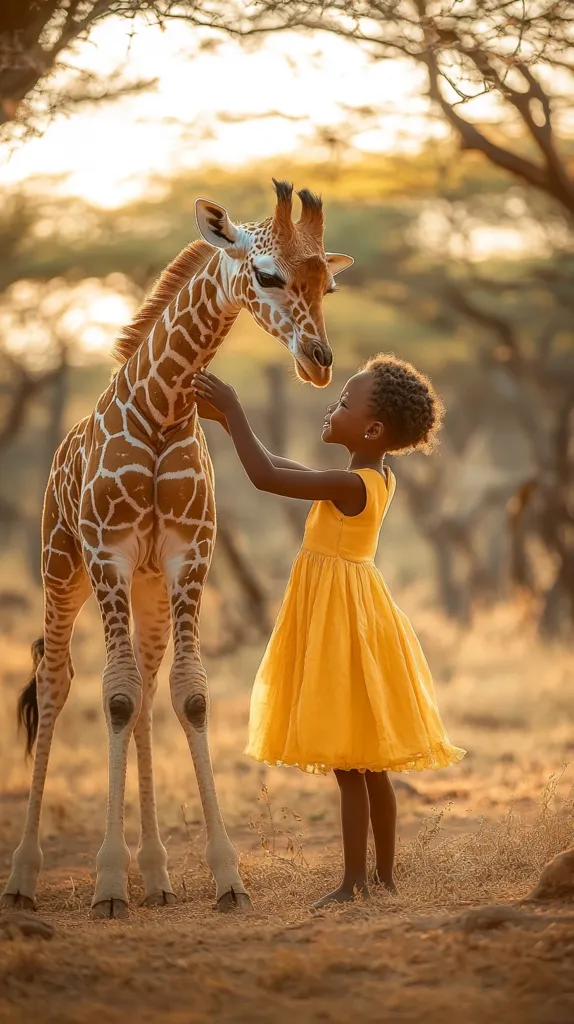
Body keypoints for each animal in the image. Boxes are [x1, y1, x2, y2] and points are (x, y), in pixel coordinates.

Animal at [1, 180, 354, 918]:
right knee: (57, 683)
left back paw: (158, 875)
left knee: (143, 682)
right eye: (267, 275)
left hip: (147, 587)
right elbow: (111, 696)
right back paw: (24, 877)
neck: (160, 408)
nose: (318, 362)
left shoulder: (187, 557)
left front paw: (226, 877)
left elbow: (186, 695)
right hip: (61, 569)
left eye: (327, 283)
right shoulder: (106, 553)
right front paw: (108, 885)